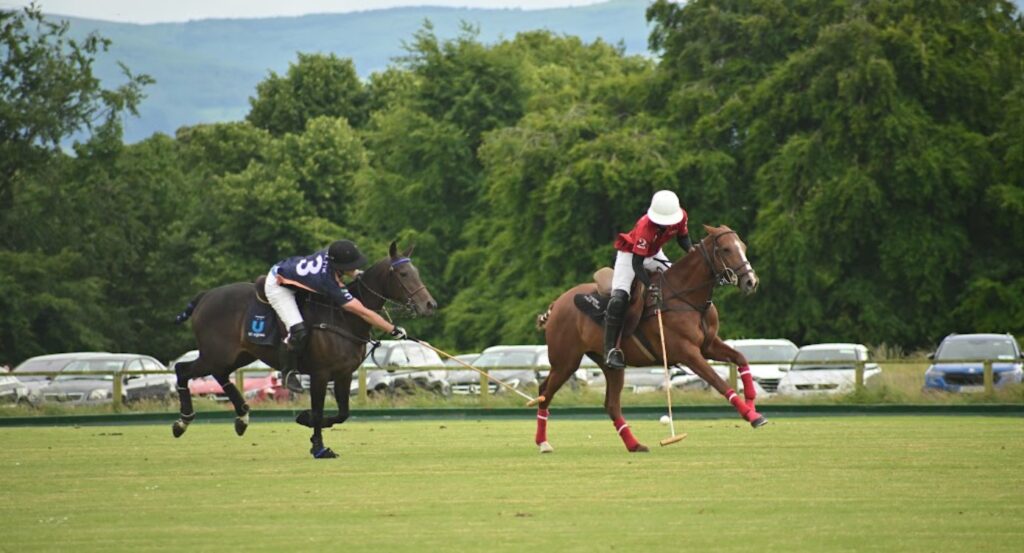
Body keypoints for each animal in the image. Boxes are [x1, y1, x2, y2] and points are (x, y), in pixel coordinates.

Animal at [172, 241, 436, 458]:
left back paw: (242, 417)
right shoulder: (320, 374)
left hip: (239, 355)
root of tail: (205, 296)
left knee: (218, 374)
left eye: (417, 272)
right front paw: (319, 447)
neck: (344, 317)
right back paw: (182, 422)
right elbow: (319, 411)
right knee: (182, 369)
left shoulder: (343, 374)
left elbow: (343, 412)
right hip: (217, 353)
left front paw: (305, 421)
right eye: (403, 274)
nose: (429, 305)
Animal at [540, 224, 765, 452]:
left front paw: (751, 404)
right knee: (545, 392)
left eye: (743, 247)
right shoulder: (688, 353)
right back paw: (543, 443)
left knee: (611, 404)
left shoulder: (708, 345)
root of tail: (556, 303)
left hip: (609, 366)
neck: (687, 297)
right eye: (726, 249)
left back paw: (635, 445)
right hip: (565, 361)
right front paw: (752, 416)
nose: (751, 282)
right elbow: (719, 382)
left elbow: (740, 358)